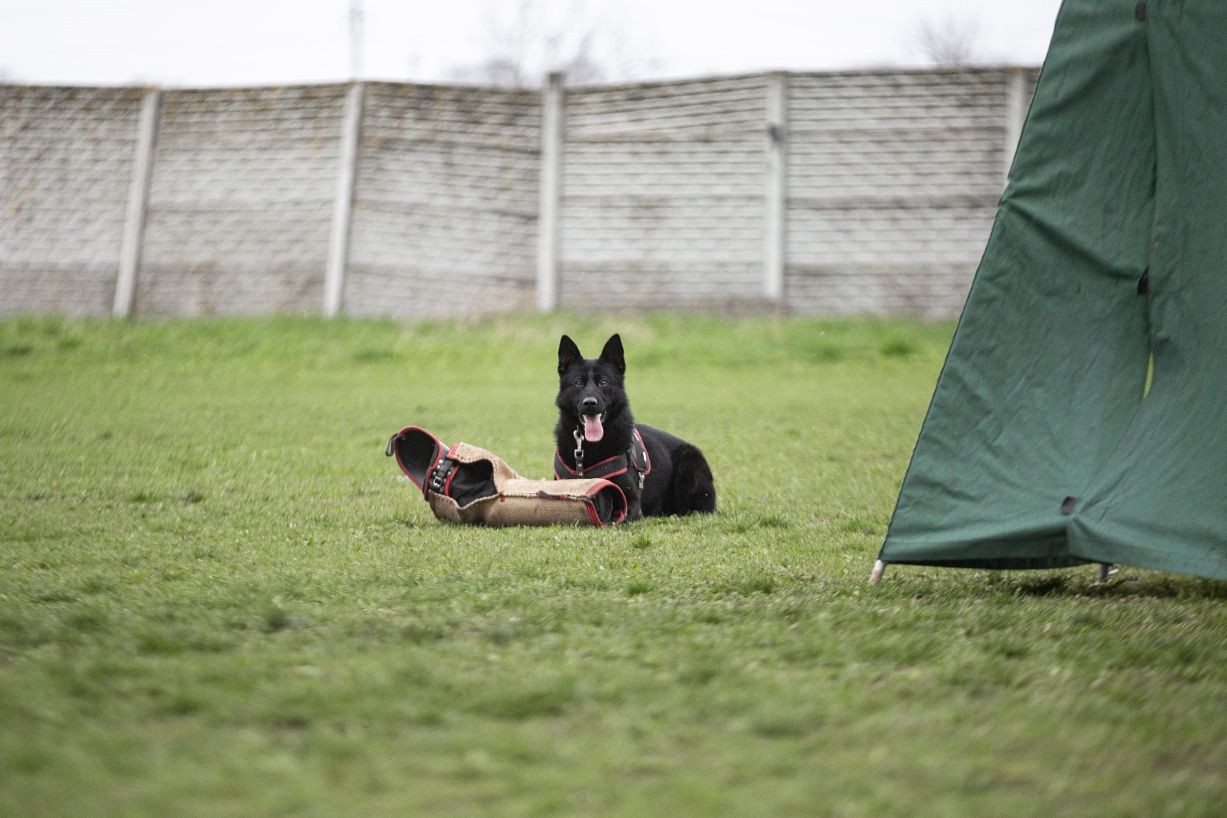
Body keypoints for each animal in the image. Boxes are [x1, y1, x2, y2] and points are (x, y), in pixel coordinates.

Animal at [554, 331, 716, 517]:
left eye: (604, 382)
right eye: (578, 383)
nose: (590, 403)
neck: (591, 446)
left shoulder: (632, 501)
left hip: (689, 461)